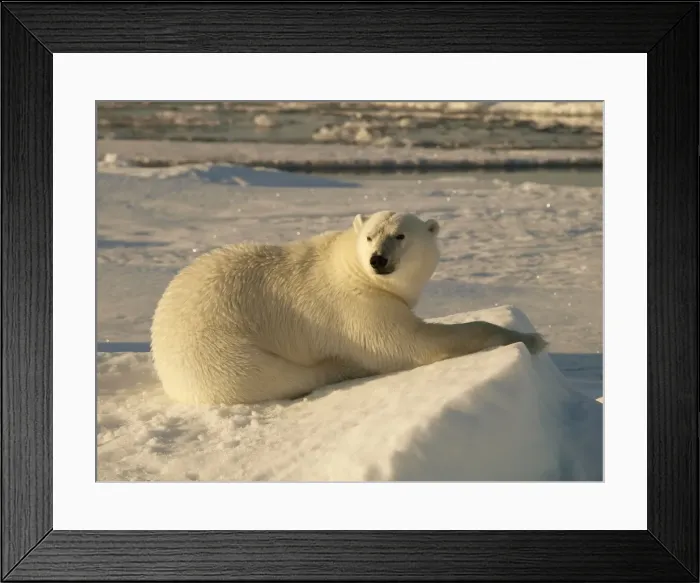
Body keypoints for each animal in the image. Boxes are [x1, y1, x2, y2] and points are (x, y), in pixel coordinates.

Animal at [150, 210, 547, 405]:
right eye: (370, 235)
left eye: (400, 235)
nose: (378, 259)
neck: (351, 266)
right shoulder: (356, 306)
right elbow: (410, 343)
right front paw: (532, 338)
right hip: (220, 353)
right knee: (282, 375)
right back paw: (340, 367)